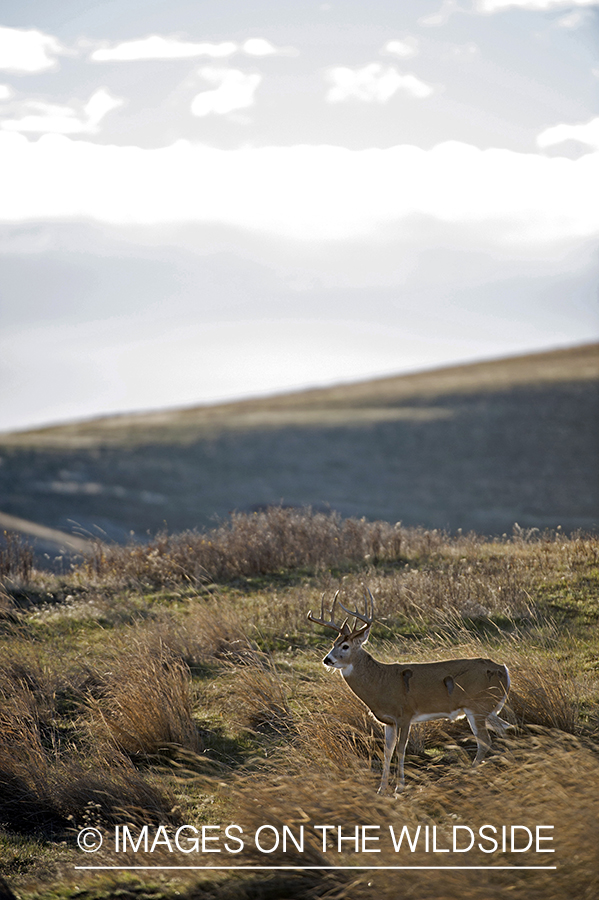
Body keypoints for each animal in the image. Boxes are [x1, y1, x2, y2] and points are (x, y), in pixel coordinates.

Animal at [310, 592, 510, 796]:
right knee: (504, 730)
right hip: (489, 708)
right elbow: (387, 751)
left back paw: (472, 772)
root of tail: (503, 669)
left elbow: (400, 749)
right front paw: (381, 789)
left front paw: (399, 787)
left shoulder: (405, 714)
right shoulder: (388, 721)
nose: (327, 660)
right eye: (333, 643)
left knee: (485, 740)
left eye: (345, 646)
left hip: (478, 706)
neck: (380, 682)